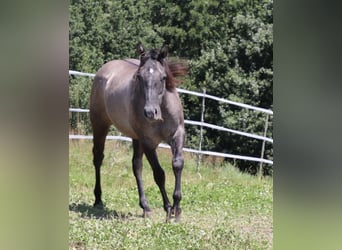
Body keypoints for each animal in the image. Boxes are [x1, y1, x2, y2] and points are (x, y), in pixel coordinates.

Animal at [89, 43, 188, 223]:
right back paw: (98, 199)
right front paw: (168, 208)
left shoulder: (177, 135)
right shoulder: (148, 142)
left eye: (163, 77)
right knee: (98, 158)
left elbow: (177, 165)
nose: (150, 112)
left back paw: (145, 207)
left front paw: (177, 208)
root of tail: (105, 69)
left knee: (137, 166)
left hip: (135, 138)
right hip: (100, 125)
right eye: (139, 77)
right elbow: (159, 174)